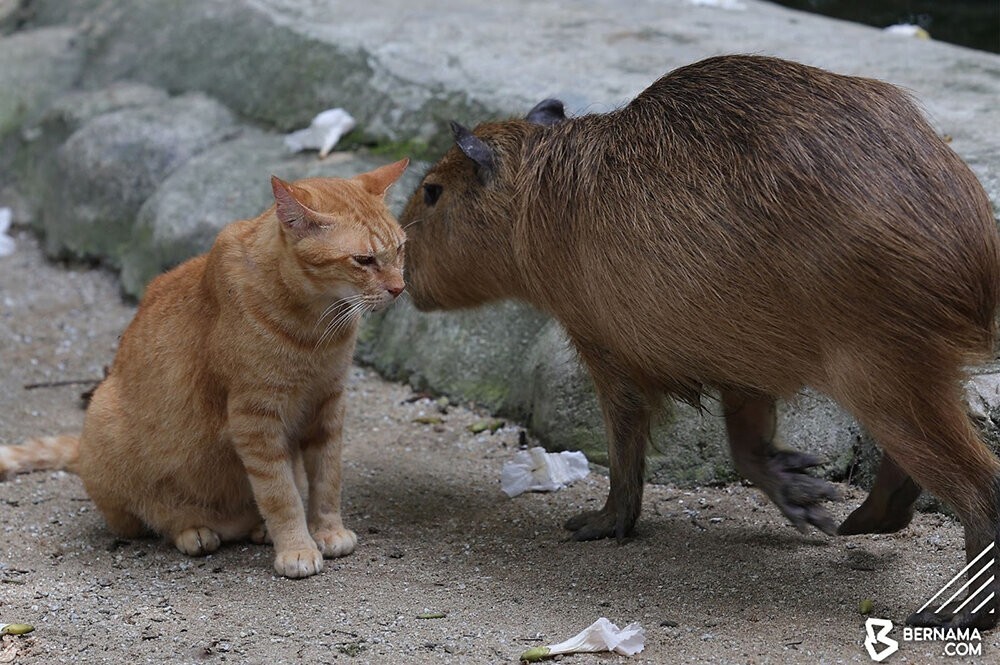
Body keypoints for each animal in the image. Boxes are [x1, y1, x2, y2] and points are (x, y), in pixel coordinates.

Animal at [0, 158, 410, 580]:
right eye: (364, 260)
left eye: (400, 249)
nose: (399, 288)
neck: (317, 328)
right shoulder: (255, 420)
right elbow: (280, 495)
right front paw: (297, 547)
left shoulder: (328, 405)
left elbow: (328, 481)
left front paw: (328, 531)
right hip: (104, 422)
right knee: (153, 521)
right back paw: (194, 530)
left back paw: (256, 528)